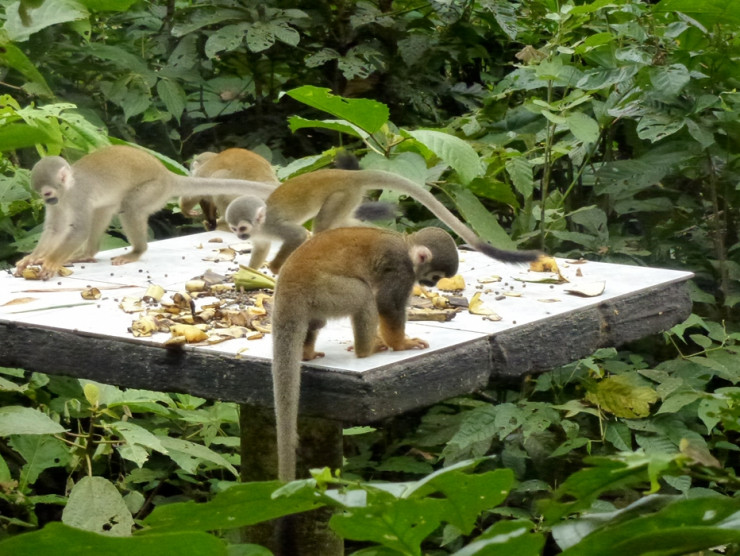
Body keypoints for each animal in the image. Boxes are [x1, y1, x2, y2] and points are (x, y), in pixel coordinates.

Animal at [13, 145, 278, 280]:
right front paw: (34, 258)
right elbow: (55, 228)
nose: (49, 200)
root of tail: (166, 176)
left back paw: (136, 251)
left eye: (48, 193)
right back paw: (88, 254)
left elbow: (78, 230)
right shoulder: (61, 203)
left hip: (152, 189)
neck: (67, 191)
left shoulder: (79, 196)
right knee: (104, 210)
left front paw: (50, 261)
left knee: (130, 207)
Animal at [224, 168, 540, 274]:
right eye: (234, 229)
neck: (261, 223)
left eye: (242, 228)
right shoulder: (262, 235)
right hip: (349, 198)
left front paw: (275, 269)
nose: (239, 236)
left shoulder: (274, 225)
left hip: (342, 193)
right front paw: (250, 270)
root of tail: (349, 173)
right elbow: (261, 248)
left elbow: (297, 236)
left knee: (323, 226)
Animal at [271, 225, 459, 481]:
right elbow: (387, 304)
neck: (405, 246)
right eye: (436, 276)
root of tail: (287, 285)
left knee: (317, 320)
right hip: (323, 290)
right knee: (363, 295)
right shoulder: (400, 269)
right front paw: (401, 344)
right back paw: (365, 350)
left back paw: (307, 353)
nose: (431, 285)